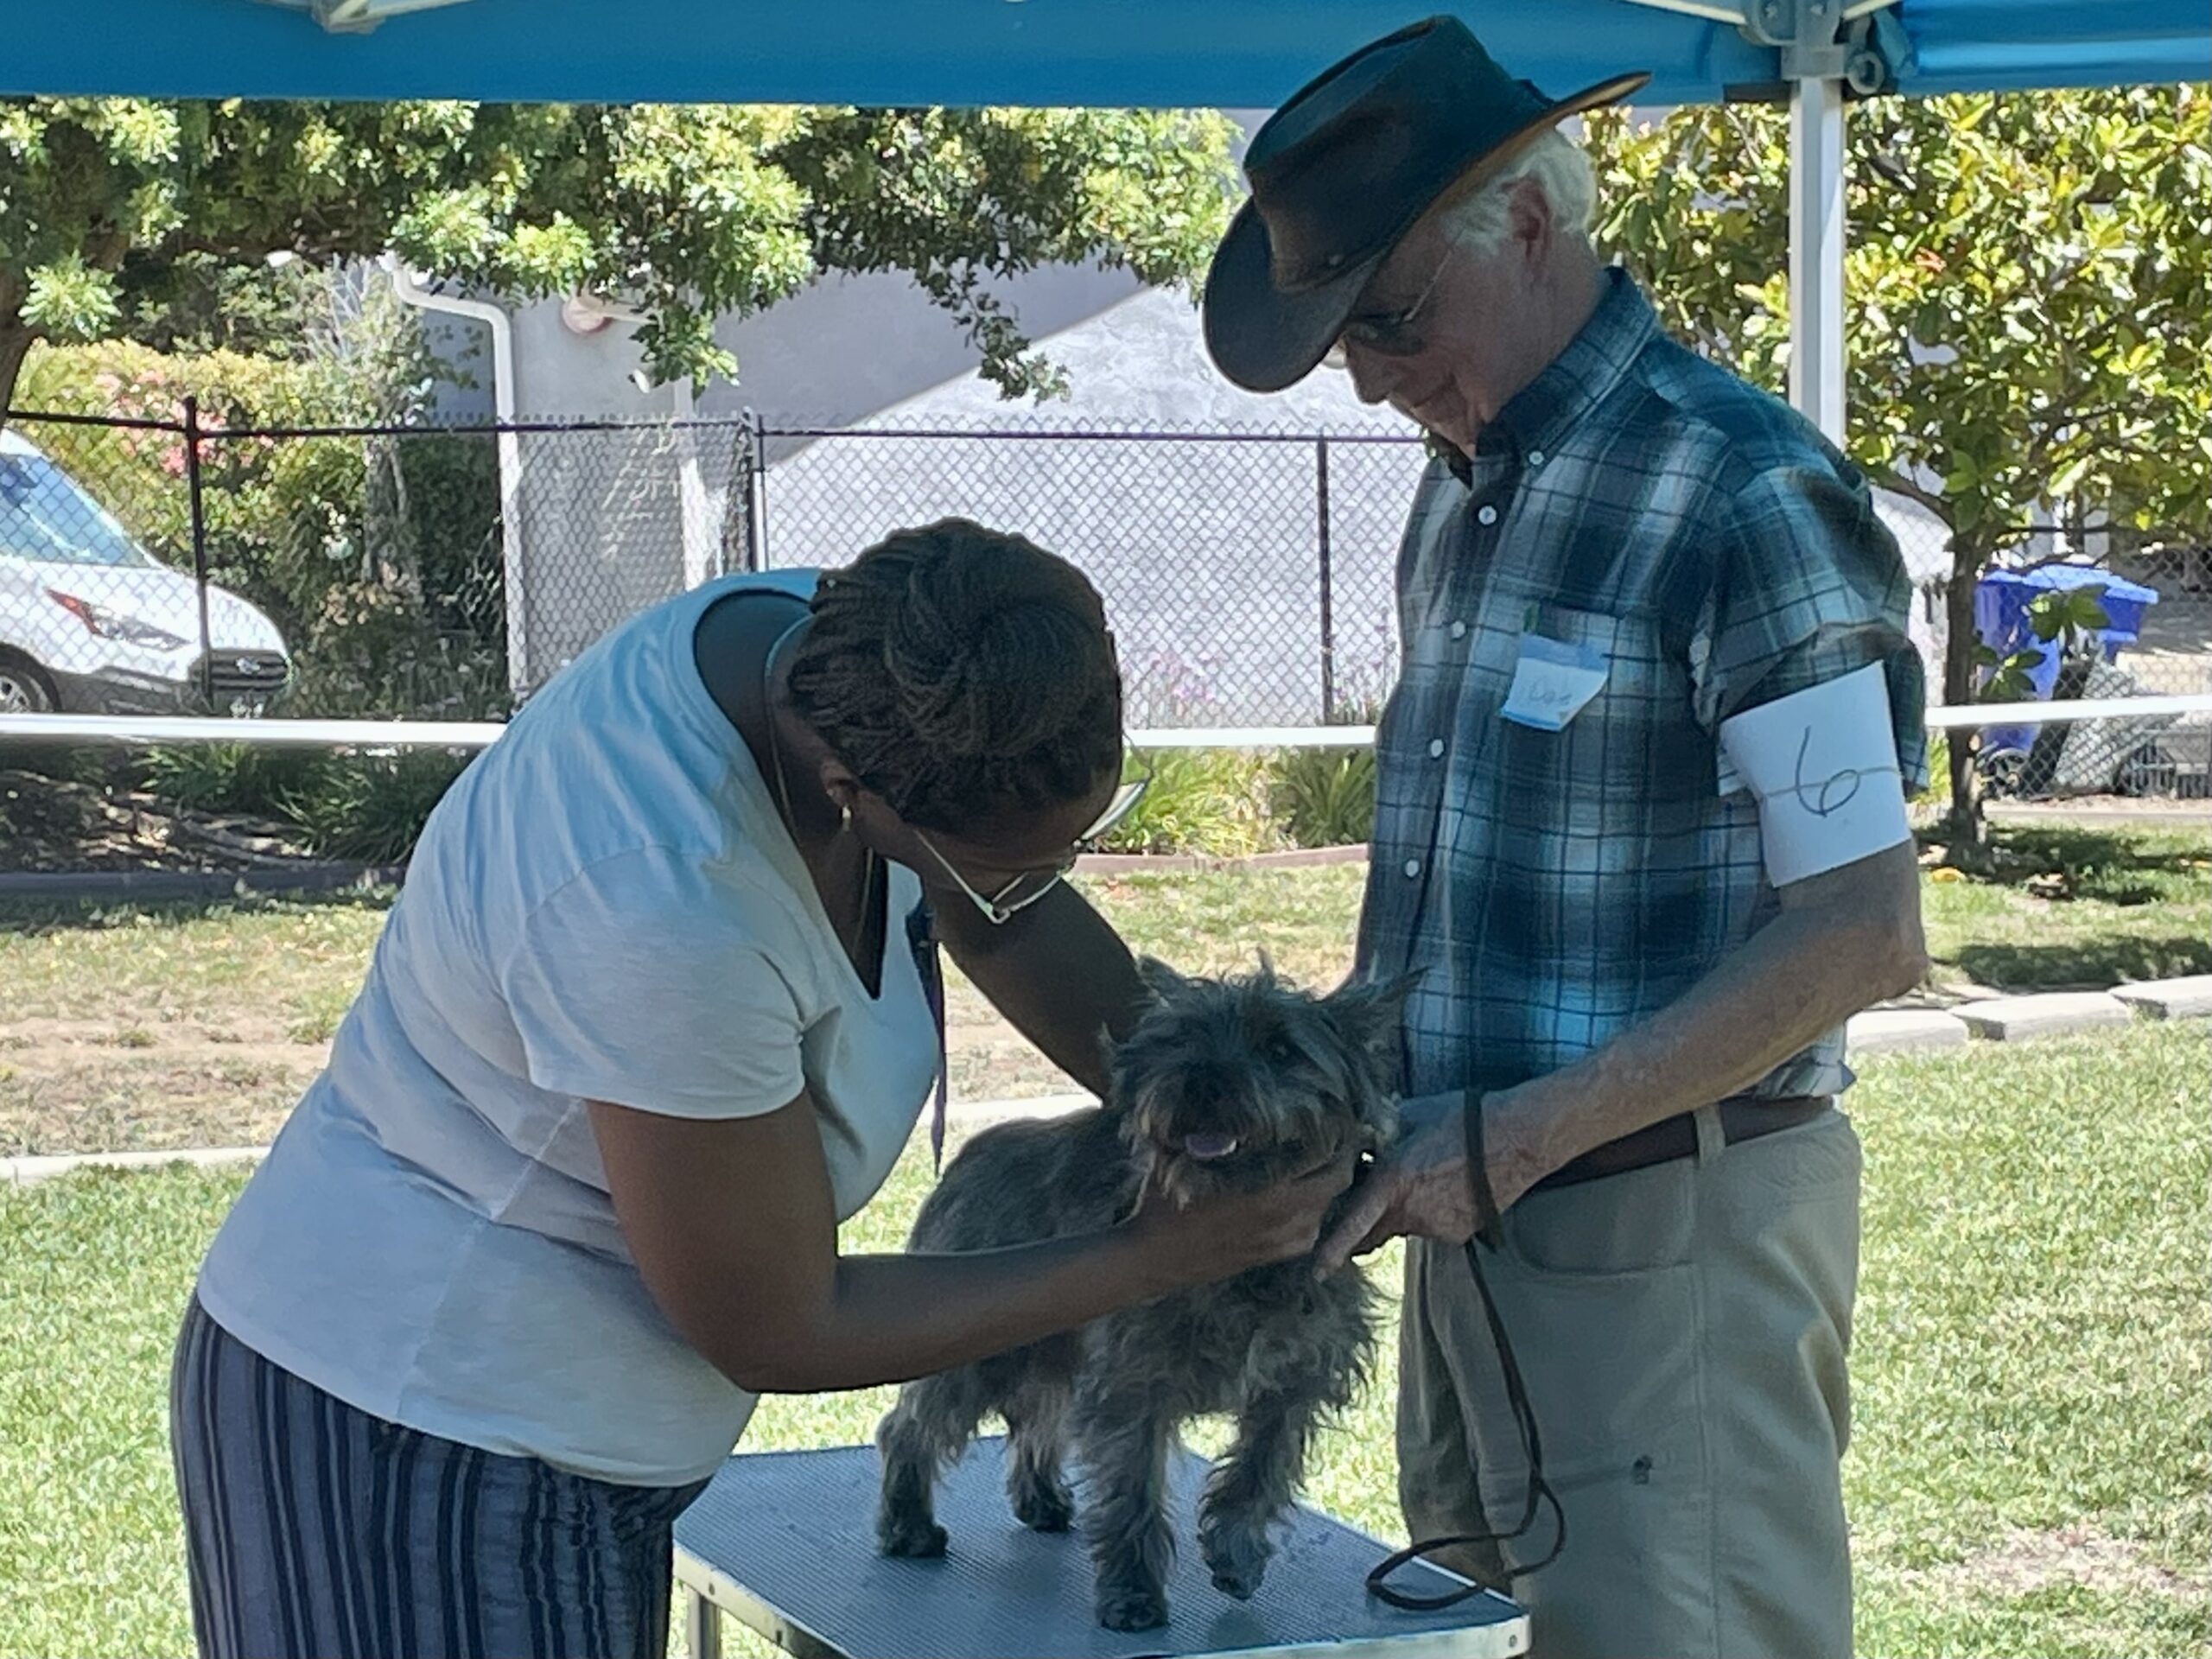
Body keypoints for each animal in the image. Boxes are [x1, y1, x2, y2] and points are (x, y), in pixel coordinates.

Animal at [874, 958, 1404, 1631]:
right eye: (1182, 1038)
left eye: (1281, 1048)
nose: (1202, 1081)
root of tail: (972, 1153)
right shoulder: (1136, 1388)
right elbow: (1134, 1493)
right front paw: (1133, 1593)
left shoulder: (1295, 1382)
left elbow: (1261, 1469)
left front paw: (1236, 1551)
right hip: (979, 1349)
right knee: (909, 1426)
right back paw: (908, 1523)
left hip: (1051, 1347)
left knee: (1038, 1417)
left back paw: (1041, 1498)